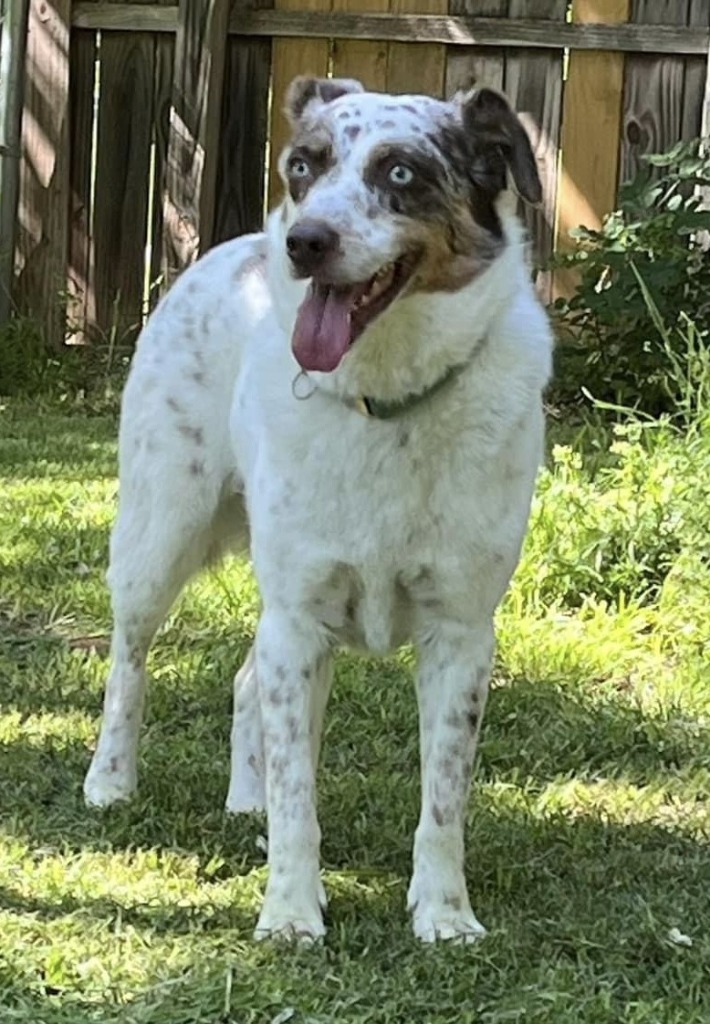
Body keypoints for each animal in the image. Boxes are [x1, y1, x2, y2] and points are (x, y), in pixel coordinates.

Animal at [81, 77, 549, 942]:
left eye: (400, 172)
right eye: (303, 165)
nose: (305, 242)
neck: (385, 402)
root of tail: (230, 248)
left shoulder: (459, 633)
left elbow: (443, 800)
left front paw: (444, 914)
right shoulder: (298, 622)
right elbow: (301, 795)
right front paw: (291, 912)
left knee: (243, 683)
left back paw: (246, 802)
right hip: (160, 533)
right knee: (129, 664)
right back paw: (111, 780)